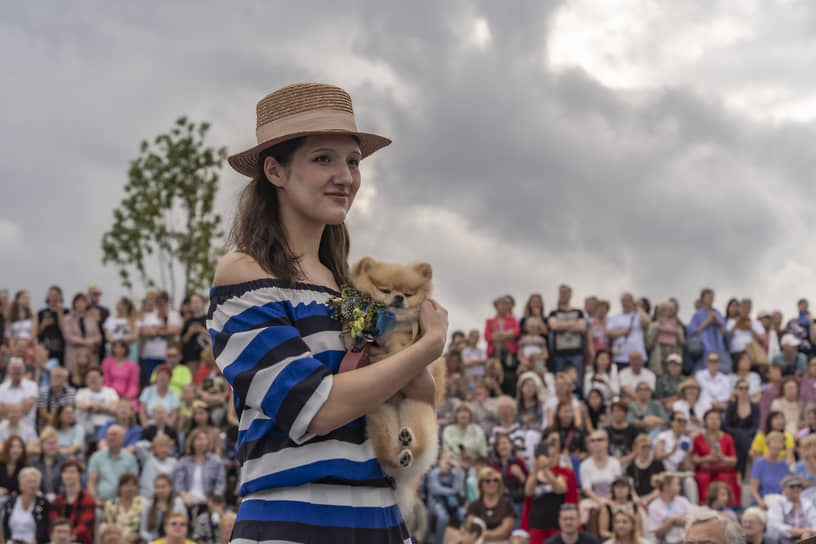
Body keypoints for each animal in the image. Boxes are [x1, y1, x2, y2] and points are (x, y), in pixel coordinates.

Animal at [350, 258, 446, 520]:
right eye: (385, 290)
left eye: (408, 294)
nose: (399, 298)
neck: (391, 321)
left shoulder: (412, 333)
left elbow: (402, 340)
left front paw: (396, 348)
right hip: (380, 416)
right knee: (389, 454)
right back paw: (400, 451)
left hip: (418, 410)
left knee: (419, 449)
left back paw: (408, 441)